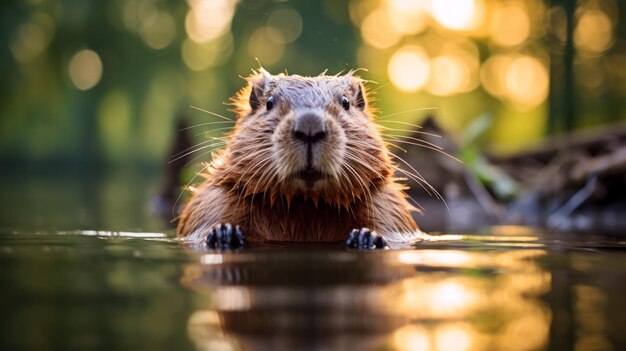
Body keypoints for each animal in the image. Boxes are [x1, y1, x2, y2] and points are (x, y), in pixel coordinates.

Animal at [176, 69, 416, 249]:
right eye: (269, 102)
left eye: (345, 102)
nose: (310, 125)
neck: (305, 204)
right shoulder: (216, 196)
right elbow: (204, 219)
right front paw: (223, 233)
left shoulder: (387, 203)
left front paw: (367, 236)